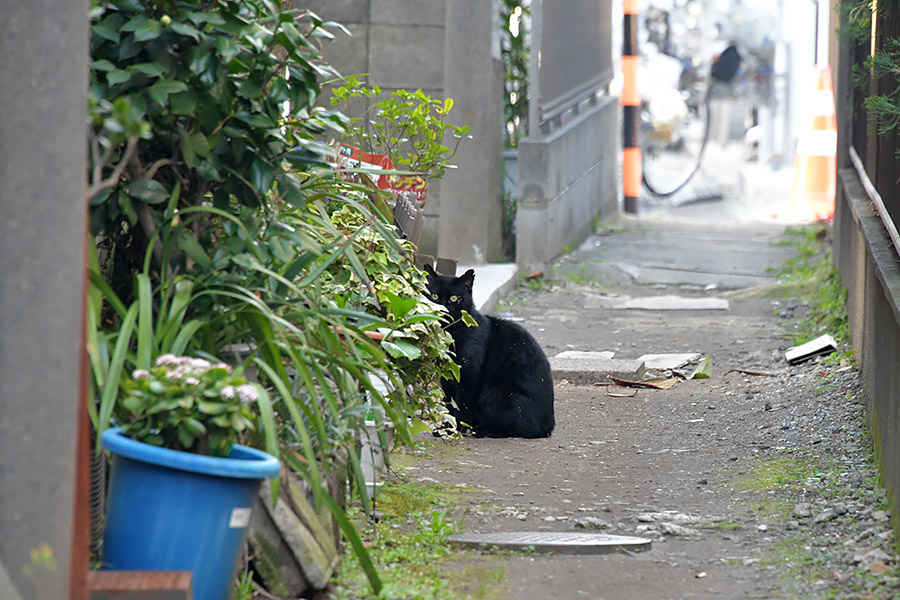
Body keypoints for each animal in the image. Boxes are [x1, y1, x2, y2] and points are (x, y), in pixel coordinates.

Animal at [424, 264, 556, 438]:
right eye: (434, 296)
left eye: (454, 298)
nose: (443, 309)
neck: (450, 334)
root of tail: (549, 426)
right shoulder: (446, 377)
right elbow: (449, 404)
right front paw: (446, 428)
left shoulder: (468, 376)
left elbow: (462, 405)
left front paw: (456, 430)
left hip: (495, 395)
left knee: (520, 429)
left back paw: (481, 430)